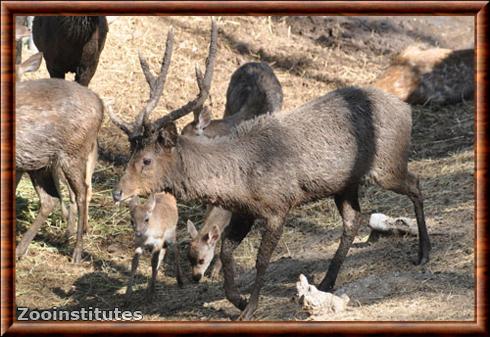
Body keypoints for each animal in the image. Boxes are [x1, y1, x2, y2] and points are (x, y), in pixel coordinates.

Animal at [15, 53, 103, 262]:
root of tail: (101, 105)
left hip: (73, 154)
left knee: (82, 193)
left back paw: (76, 251)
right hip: (39, 162)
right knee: (50, 199)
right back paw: (20, 250)